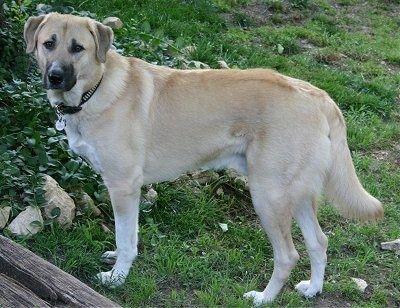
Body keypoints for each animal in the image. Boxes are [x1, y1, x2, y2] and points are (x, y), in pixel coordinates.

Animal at [23, 12, 382, 306]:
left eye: (78, 48)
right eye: (49, 43)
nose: (55, 76)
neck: (95, 89)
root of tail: (318, 95)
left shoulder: (124, 186)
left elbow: (126, 239)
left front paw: (117, 278)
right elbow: (128, 236)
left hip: (268, 195)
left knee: (288, 255)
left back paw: (264, 298)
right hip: (297, 193)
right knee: (319, 242)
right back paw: (314, 289)